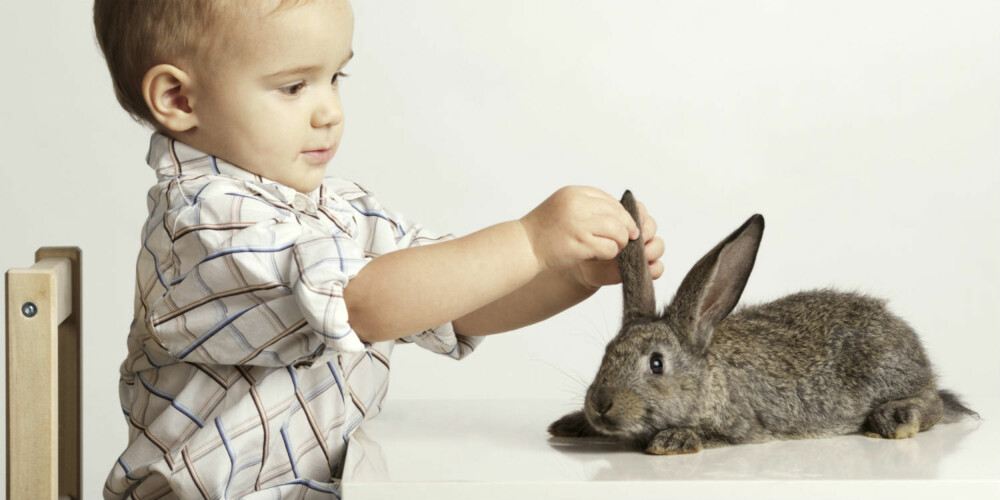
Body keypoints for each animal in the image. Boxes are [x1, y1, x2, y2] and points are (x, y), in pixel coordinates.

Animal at [548, 189, 976, 456]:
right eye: (606, 353)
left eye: (656, 364)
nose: (600, 405)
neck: (708, 377)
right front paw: (569, 424)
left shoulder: (740, 426)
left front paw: (672, 440)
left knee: (934, 404)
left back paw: (895, 419)